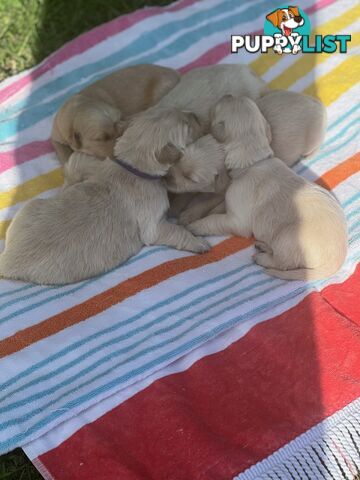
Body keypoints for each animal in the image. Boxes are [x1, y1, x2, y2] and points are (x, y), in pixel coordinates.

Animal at [0, 109, 211, 284]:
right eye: (187, 125)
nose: (195, 113)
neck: (131, 165)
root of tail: (7, 259)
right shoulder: (153, 224)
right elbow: (173, 231)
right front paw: (198, 242)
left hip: (28, 209)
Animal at [187, 95, 348, 280]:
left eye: (218, 107)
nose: (227, 94)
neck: (254, 160)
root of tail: (337, 260)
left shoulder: (237, 219)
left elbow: (216, 220)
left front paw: (194, 226)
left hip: (287, 238)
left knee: (283, 263)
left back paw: (262, 257)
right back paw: (264, 246)